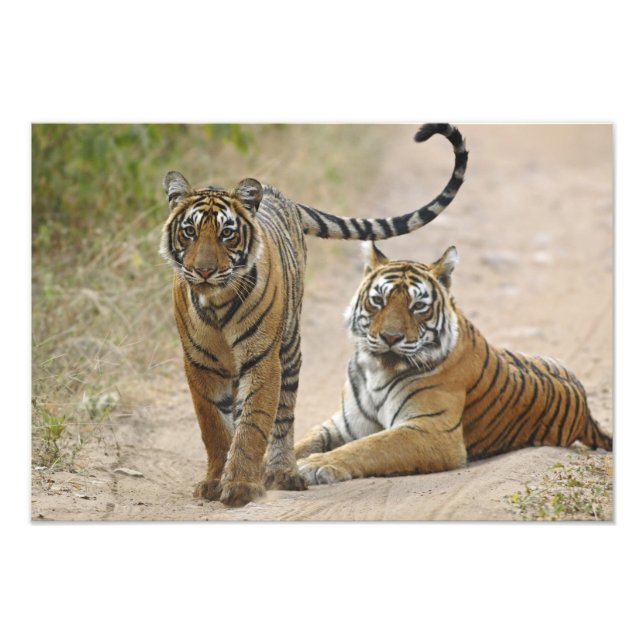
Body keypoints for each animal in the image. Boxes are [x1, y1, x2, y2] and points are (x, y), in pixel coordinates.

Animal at [160, 124, 469, 507]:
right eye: (189, 231)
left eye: (226, 234)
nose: (203, 271)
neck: (216, 301)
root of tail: (282, 196)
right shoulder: (199, 362)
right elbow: (214, 427)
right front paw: (215, 481)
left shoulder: (262, 359)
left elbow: (253, 424)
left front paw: (241, 486)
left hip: (289, 347)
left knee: (283, 415)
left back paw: (282, 472)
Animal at [295, 243, 612, 485]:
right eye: (378, 300)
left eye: (418, 306)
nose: (390, 337)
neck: (377, 370)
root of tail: (586, 410)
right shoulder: (343, 425)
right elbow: (302, 442)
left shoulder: (432, 430)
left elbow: (368, 447)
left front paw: (315, 465)